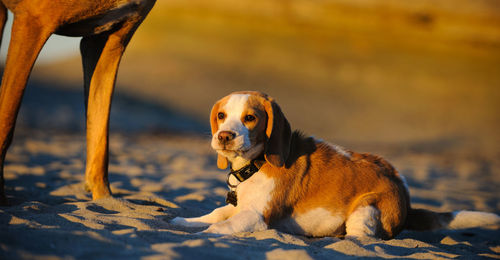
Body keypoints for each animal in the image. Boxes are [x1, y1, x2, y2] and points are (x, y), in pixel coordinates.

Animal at [171, 91, 496, 240]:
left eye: (250, 118)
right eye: (222, 115)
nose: (224, 136)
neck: (256, 163)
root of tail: (405, 193)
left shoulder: (255, 217)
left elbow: (220, 226)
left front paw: (201, 235)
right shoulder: (240, 207)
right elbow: (214, 214)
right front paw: (187, 222)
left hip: (366, 209)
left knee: (362, 240)